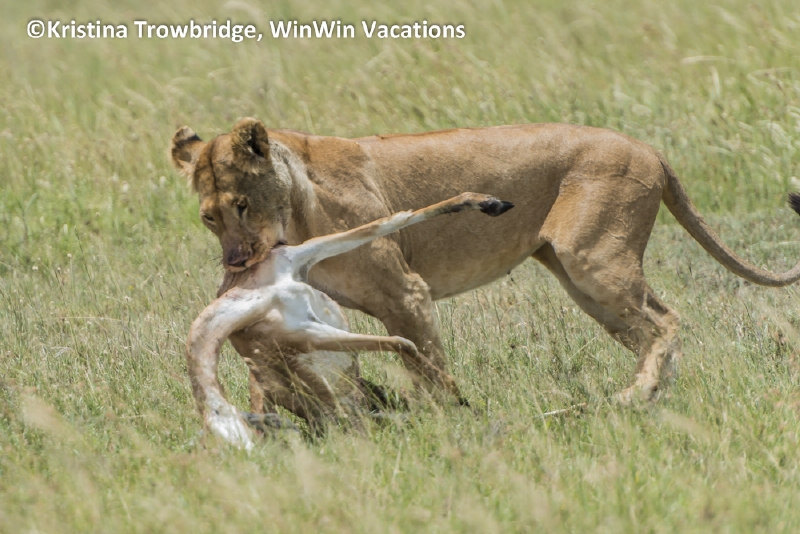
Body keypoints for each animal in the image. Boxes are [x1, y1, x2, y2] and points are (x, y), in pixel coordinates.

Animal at [171, 118, 800, 405]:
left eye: (242, 205)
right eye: (209, 217)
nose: (237, 263)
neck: (295, 207)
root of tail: (648, 148)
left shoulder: (406, 291)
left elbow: (427, 363)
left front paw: (446, 419)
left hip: (592, 259)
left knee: (667, 321)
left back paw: (633, 397)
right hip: (583, 281)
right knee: (652, 327)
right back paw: (652, 397)